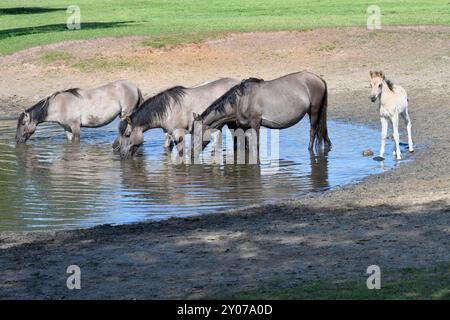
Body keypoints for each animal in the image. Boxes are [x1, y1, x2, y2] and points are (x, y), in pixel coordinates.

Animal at [193, 71, 330, 152]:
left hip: (314, 111)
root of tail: (319, 79)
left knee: (313, 131)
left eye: (196, 133)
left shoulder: (255, 123)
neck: (241, 101)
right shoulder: (245, 127)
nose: (192, 152)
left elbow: (256, 145)